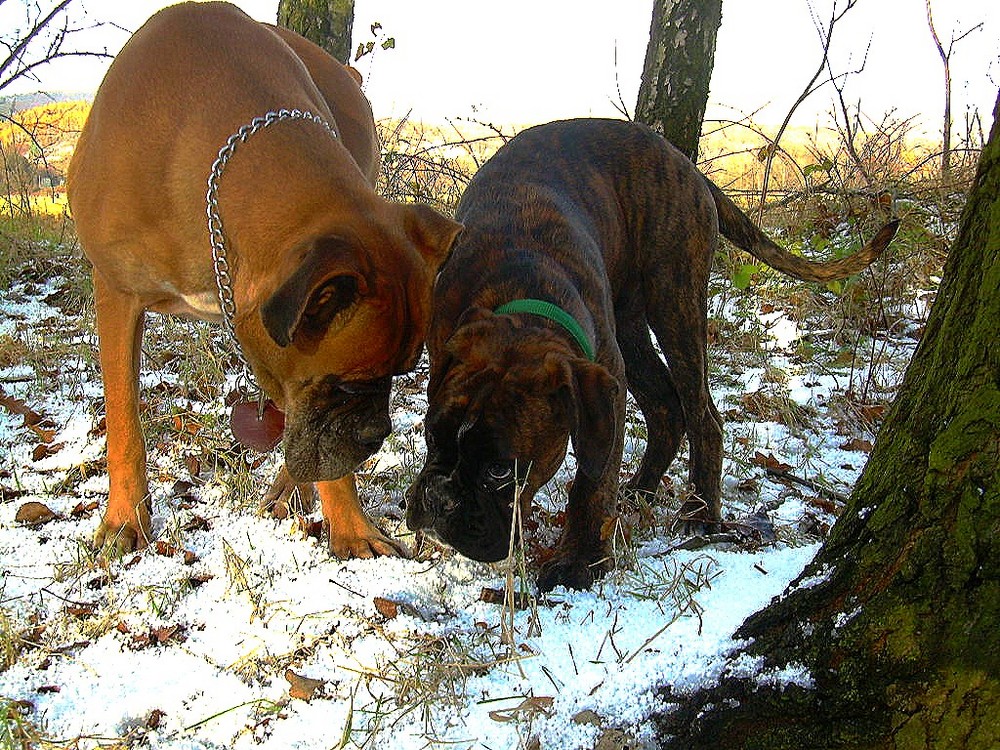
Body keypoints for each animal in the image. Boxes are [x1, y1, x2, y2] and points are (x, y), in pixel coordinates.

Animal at [68, 4, 458, 560]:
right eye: (345, 384)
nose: (375, 434)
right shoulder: (117, 293)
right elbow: (123, 419)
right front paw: (125, 519)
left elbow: (322, 450)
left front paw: (351, 527)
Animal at [406, 117, 900, 592]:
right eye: (431, 436)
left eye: (499, 472)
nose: (437, 498)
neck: (520, 294)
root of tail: (685, 164)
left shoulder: (604, 387)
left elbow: (592, 479)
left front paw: (578, 560)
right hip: (632, 330)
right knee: (666, 407)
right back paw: (641, 491)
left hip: (674, 301)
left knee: (703, 416)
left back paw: (700, 515)